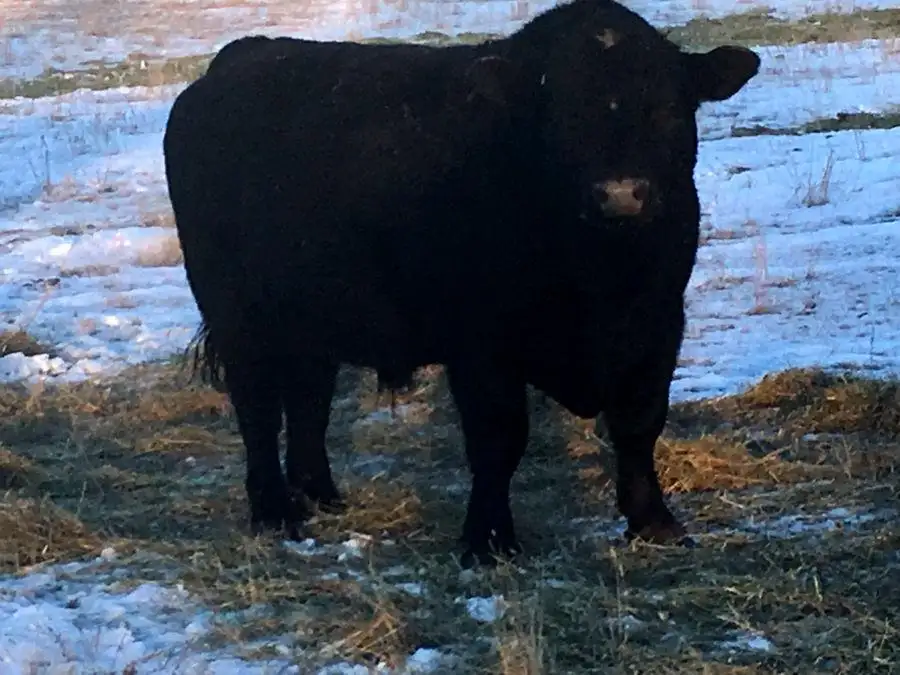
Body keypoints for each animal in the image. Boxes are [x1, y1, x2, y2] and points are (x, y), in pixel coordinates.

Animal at [163, 0, 760, 567]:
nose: (620, 194)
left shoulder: (657, 324)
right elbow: (498, 437)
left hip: (312, 316)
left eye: (668, 109)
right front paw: (489, 540)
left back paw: (321, 496)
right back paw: (274, 512)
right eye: (562, 113)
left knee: (309, 398)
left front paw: (654, 522)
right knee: (258, 409)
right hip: (238, 317)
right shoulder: (481, 342)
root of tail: (243, 56)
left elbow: (640, 424)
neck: (599, 278)